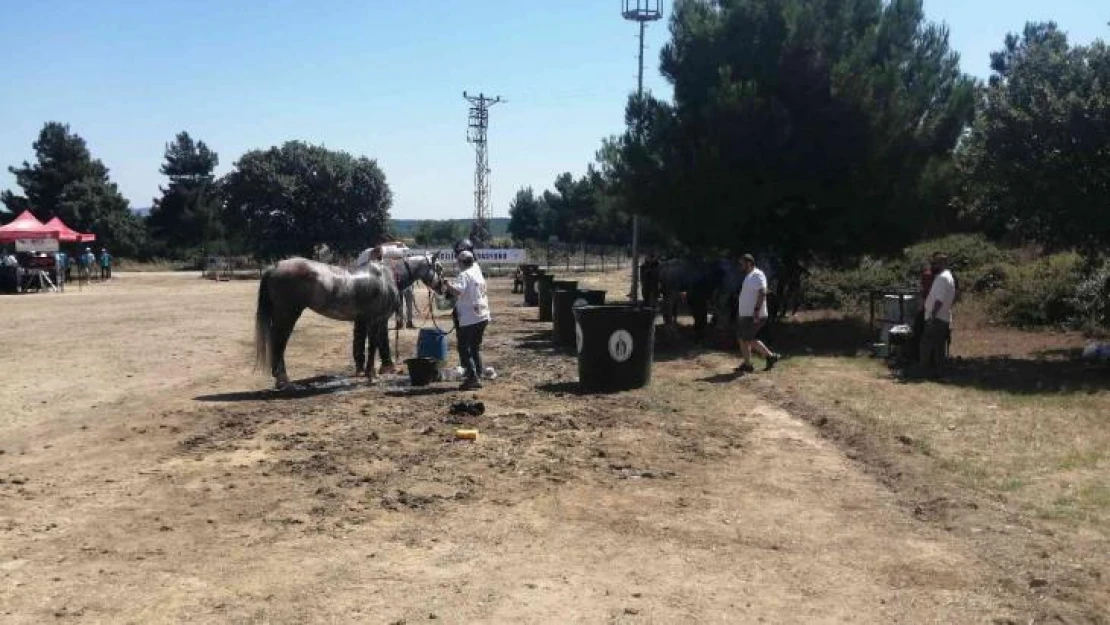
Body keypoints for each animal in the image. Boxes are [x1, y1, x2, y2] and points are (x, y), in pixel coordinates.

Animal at [254, 253, 444, 388]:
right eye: (439, 268)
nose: (444, 288)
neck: (388, 276)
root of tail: (275, 267)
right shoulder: (377, 319)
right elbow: (373, 345)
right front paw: (372, 375)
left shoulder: (369, 320)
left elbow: (372, 345)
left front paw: (370, 373)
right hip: (288, 315)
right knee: (279, 342)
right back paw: (283, 380)